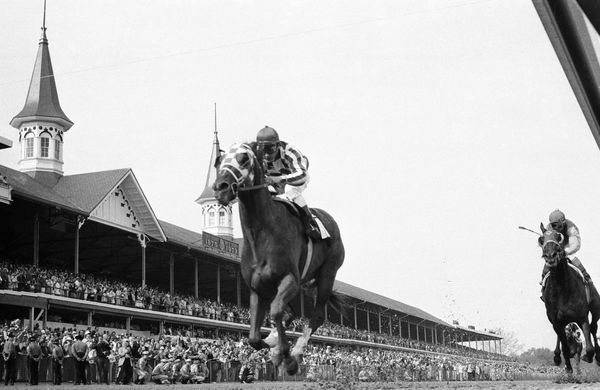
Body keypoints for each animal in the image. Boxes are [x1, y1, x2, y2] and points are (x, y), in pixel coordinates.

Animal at [212, 143, 344, 374]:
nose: (222, 187)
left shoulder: (290, 278)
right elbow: (254, 337)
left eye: (244, 158)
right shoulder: (257, 287)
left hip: (328, 273)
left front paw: (287, 356)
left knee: (317, 315)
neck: (263, 234)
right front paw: (274, 348)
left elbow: (275, 312)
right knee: (290, 313)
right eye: (219, 161)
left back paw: (297, 352)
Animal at [540, 222, 600, 372]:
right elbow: (565, 349)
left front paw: (588, 357)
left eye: (559, 237)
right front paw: (567, 368)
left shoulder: (582, 317)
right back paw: (558, 357)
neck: (562, 288)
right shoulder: (557, 322)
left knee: (594, 327)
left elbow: (589, 347)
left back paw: (598, 357)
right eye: (541, 240)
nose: (550, 256)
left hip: (596, 308)